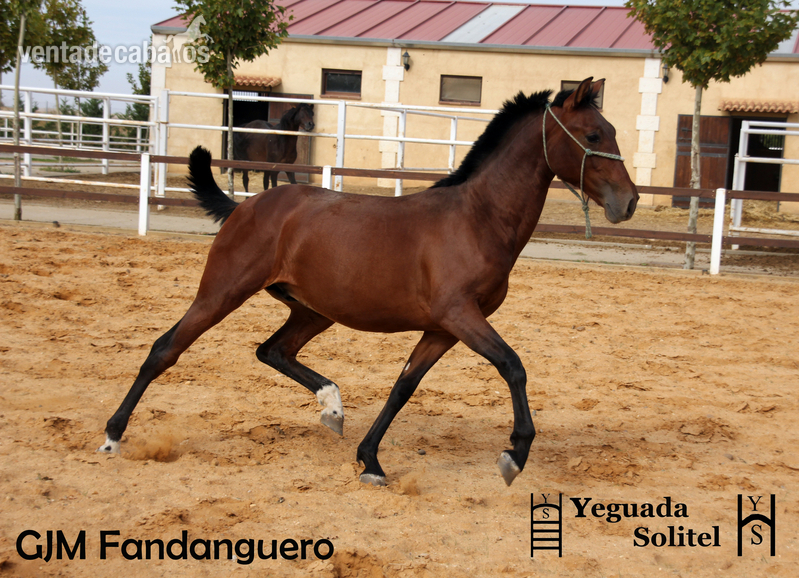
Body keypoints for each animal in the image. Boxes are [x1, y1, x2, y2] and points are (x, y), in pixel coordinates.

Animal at [98, 78, 637, 487]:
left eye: (610, 130)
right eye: (594, 133)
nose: (628, 202)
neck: (477, 219)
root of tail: (243, 207)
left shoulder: (442, 328)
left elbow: (403, 387)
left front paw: (370, 460)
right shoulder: (461, 316)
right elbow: (513, 367)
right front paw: (515, 455)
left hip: (312, 310)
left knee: (272, 350)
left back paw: (332, 407)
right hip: (222, 291)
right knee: (165, 349)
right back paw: (112, 435)